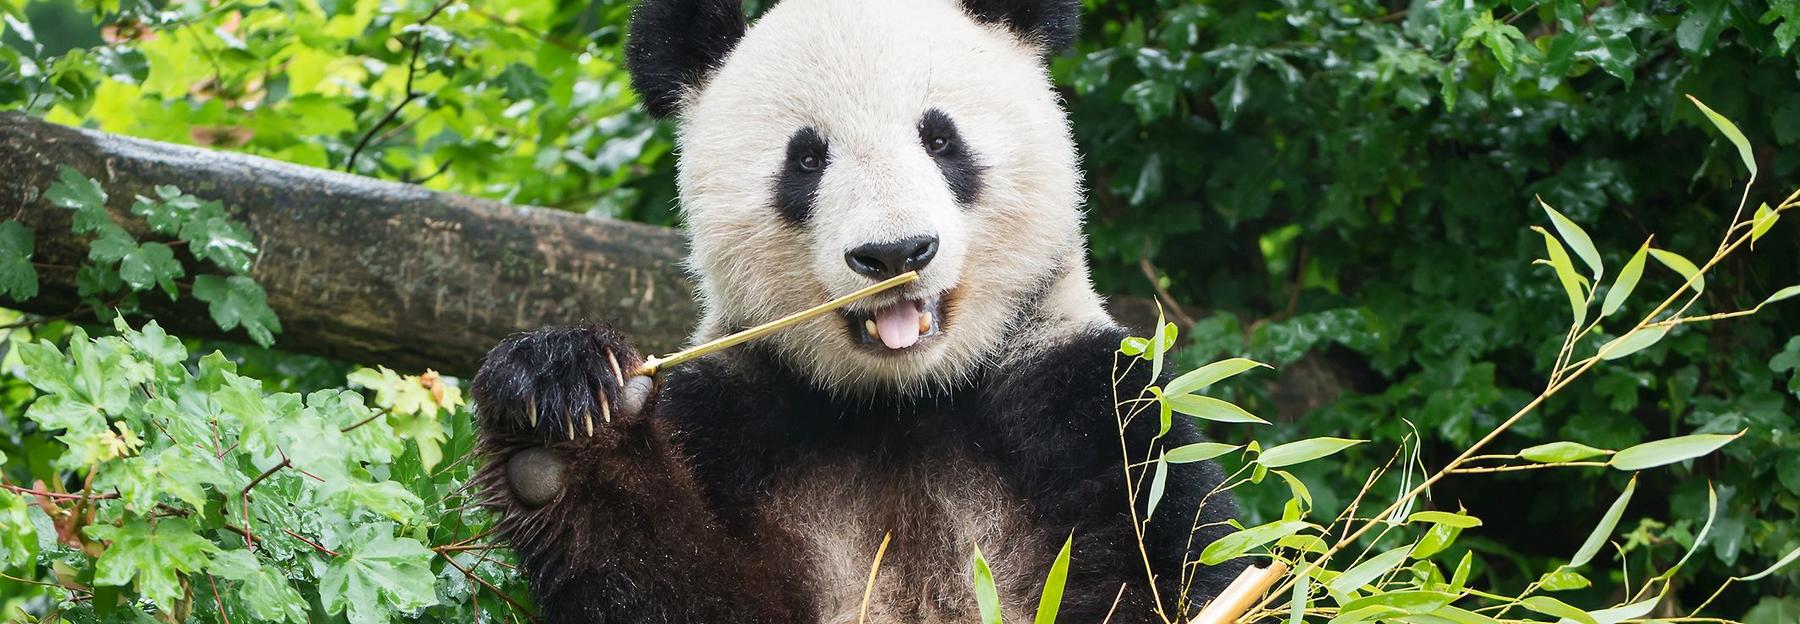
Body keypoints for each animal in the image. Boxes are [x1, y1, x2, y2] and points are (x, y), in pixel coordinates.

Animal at [471, 0, 1245, 622]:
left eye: (941, 138)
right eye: (806, 159)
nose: (894, 250)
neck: (905, 402)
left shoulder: (1090, 410)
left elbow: (1172, 570)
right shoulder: (739, 420)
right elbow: (686, 591)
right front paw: (565, 408)